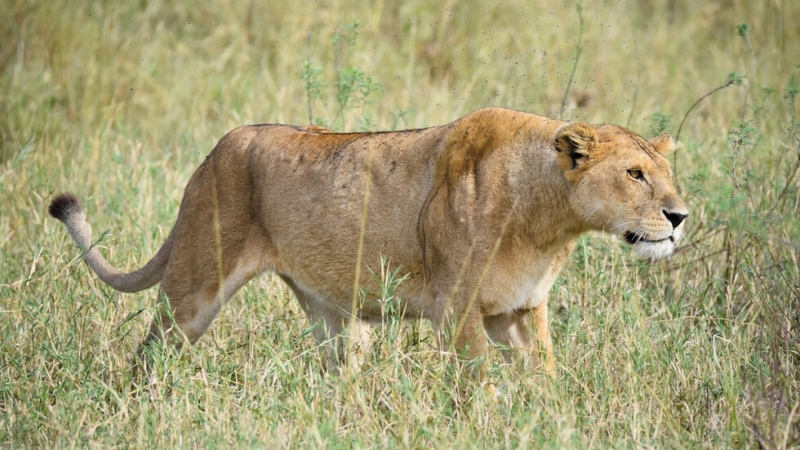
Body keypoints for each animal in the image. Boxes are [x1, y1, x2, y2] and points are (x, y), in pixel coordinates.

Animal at [49, 107, 688, 377]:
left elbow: (546, 382)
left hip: (334, 315)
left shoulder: (523, 310)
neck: (547, 221)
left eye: (668, 173)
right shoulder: (458, 310)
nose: (679, 215)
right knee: (150, 353)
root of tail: (213, 152)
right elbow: (481, 388)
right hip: (194, 288)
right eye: (635, 174)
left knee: (340, 373)